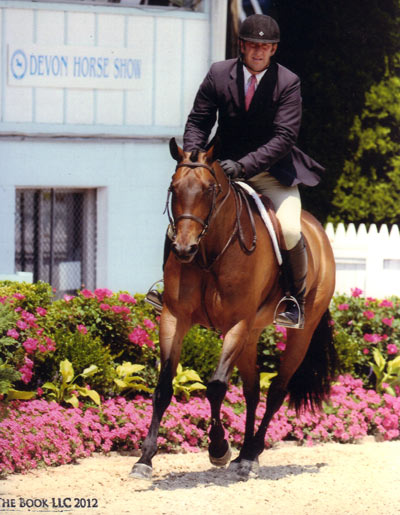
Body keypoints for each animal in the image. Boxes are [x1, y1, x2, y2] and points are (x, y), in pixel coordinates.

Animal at [130, 138, 334, 480]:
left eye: (209, 189)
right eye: (174, 188)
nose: (183, 249)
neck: (208, 252)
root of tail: (319, 231)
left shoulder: (236, 323)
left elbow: (215, 387)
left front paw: (218, 448)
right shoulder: (174, 318)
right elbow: (163, 386)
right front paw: (145, 459)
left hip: (299, 332)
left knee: (277, 390)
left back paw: (250, 453)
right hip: (251, 333)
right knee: (253, 390)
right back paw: (244, 456)